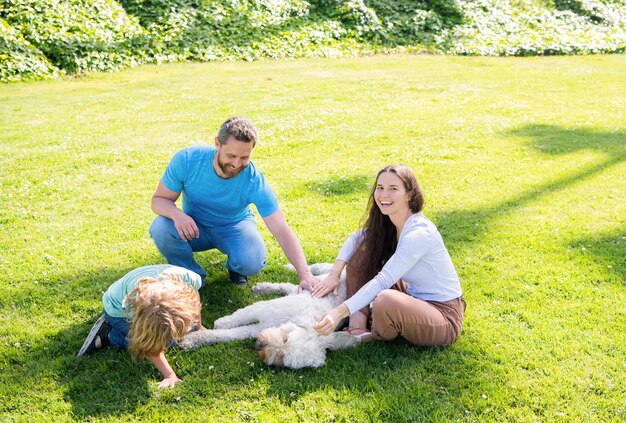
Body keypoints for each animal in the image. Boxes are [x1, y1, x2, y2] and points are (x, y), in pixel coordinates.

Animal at [178, 264, 358, 368]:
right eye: (285, 339)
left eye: (282, 357)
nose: (259, 345)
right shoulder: (261, 309)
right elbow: (237, 317)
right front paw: (221, 322)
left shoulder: (256, 328)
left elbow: (227, 334)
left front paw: (193, 340)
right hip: (320, 278)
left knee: (287, 286)